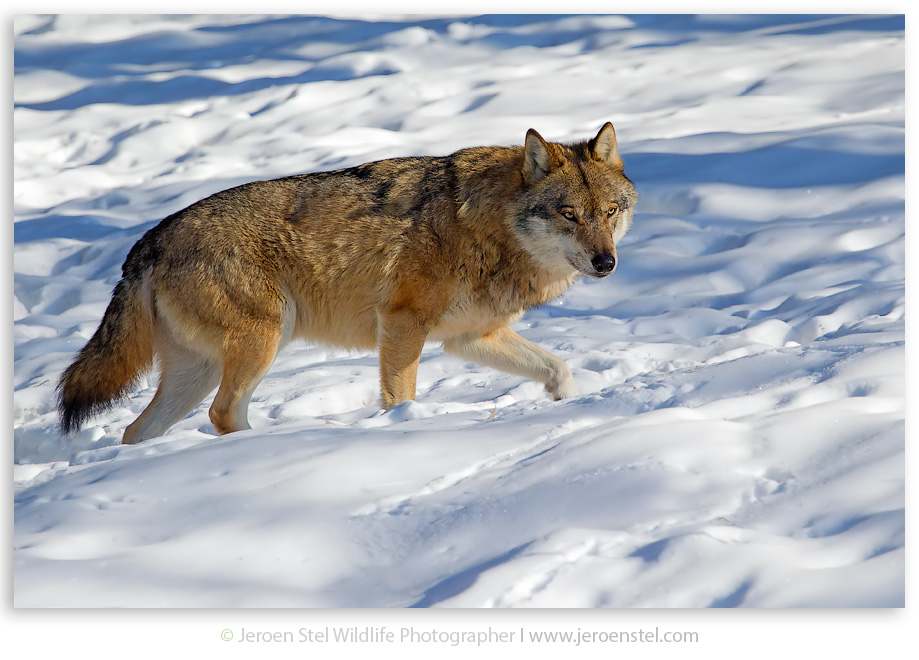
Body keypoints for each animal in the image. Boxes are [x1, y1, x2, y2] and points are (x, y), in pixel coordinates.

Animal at [58, 123, 637, 444]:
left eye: (609, 212)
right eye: (568, 214)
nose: (606, 263)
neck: (486, 224)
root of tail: (150, 238)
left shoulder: (469, 337)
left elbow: (559, 369)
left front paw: (570, 408)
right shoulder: (402, 325)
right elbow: (399, 397)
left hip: (198, 369)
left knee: (137, 431)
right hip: (262, 341)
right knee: (222, 414)